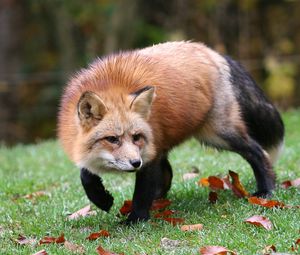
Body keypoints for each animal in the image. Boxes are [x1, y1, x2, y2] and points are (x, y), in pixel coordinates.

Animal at [57, 41, 284, 223]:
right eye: (112, 139)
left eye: (136, 137)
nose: (135, 163)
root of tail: (211, 51)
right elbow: (85, 174)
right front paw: (101, 199)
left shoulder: (149, 155)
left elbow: (141, 193)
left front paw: (135, 220)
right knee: (167, 174)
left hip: (219, 134)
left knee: (257, 152)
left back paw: (266, 189)